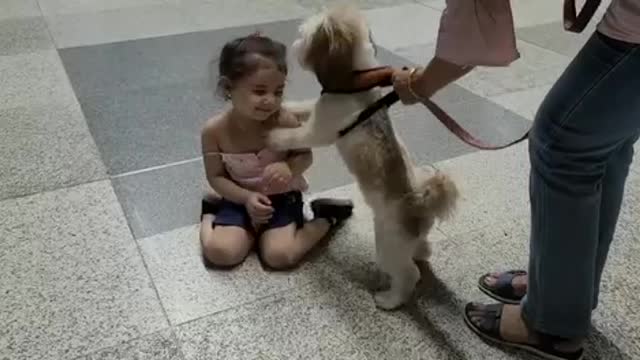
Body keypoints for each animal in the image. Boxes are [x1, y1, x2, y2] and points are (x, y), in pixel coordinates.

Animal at [268, 4, 458, 310]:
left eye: (304, 35)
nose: (292, 44)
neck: (353, 81)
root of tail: (420, 203)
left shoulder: (318, 131)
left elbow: (293, 136)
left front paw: (271, 135)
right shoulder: (318, 109)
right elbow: (303, 107)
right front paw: (286, 107)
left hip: (387, 244)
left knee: (408, 274)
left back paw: (391, 299)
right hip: (411, 238)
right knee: (422, 251)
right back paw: (420, 253)